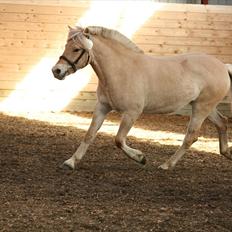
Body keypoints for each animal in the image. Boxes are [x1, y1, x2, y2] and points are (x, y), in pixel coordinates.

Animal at [52, 25, 232, 170]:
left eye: (76, 49)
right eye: (66, 45)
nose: (57, 71)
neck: (120, 69)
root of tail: (222, 66)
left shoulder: (132, 113)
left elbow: (119, 139)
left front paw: (141, 158)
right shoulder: (102, 107)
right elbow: (89, 134)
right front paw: (71, 162)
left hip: (201, 108)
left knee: (191, 136)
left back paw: (167, 165)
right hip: (205, 107)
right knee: (222, 123)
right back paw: (227, 153)